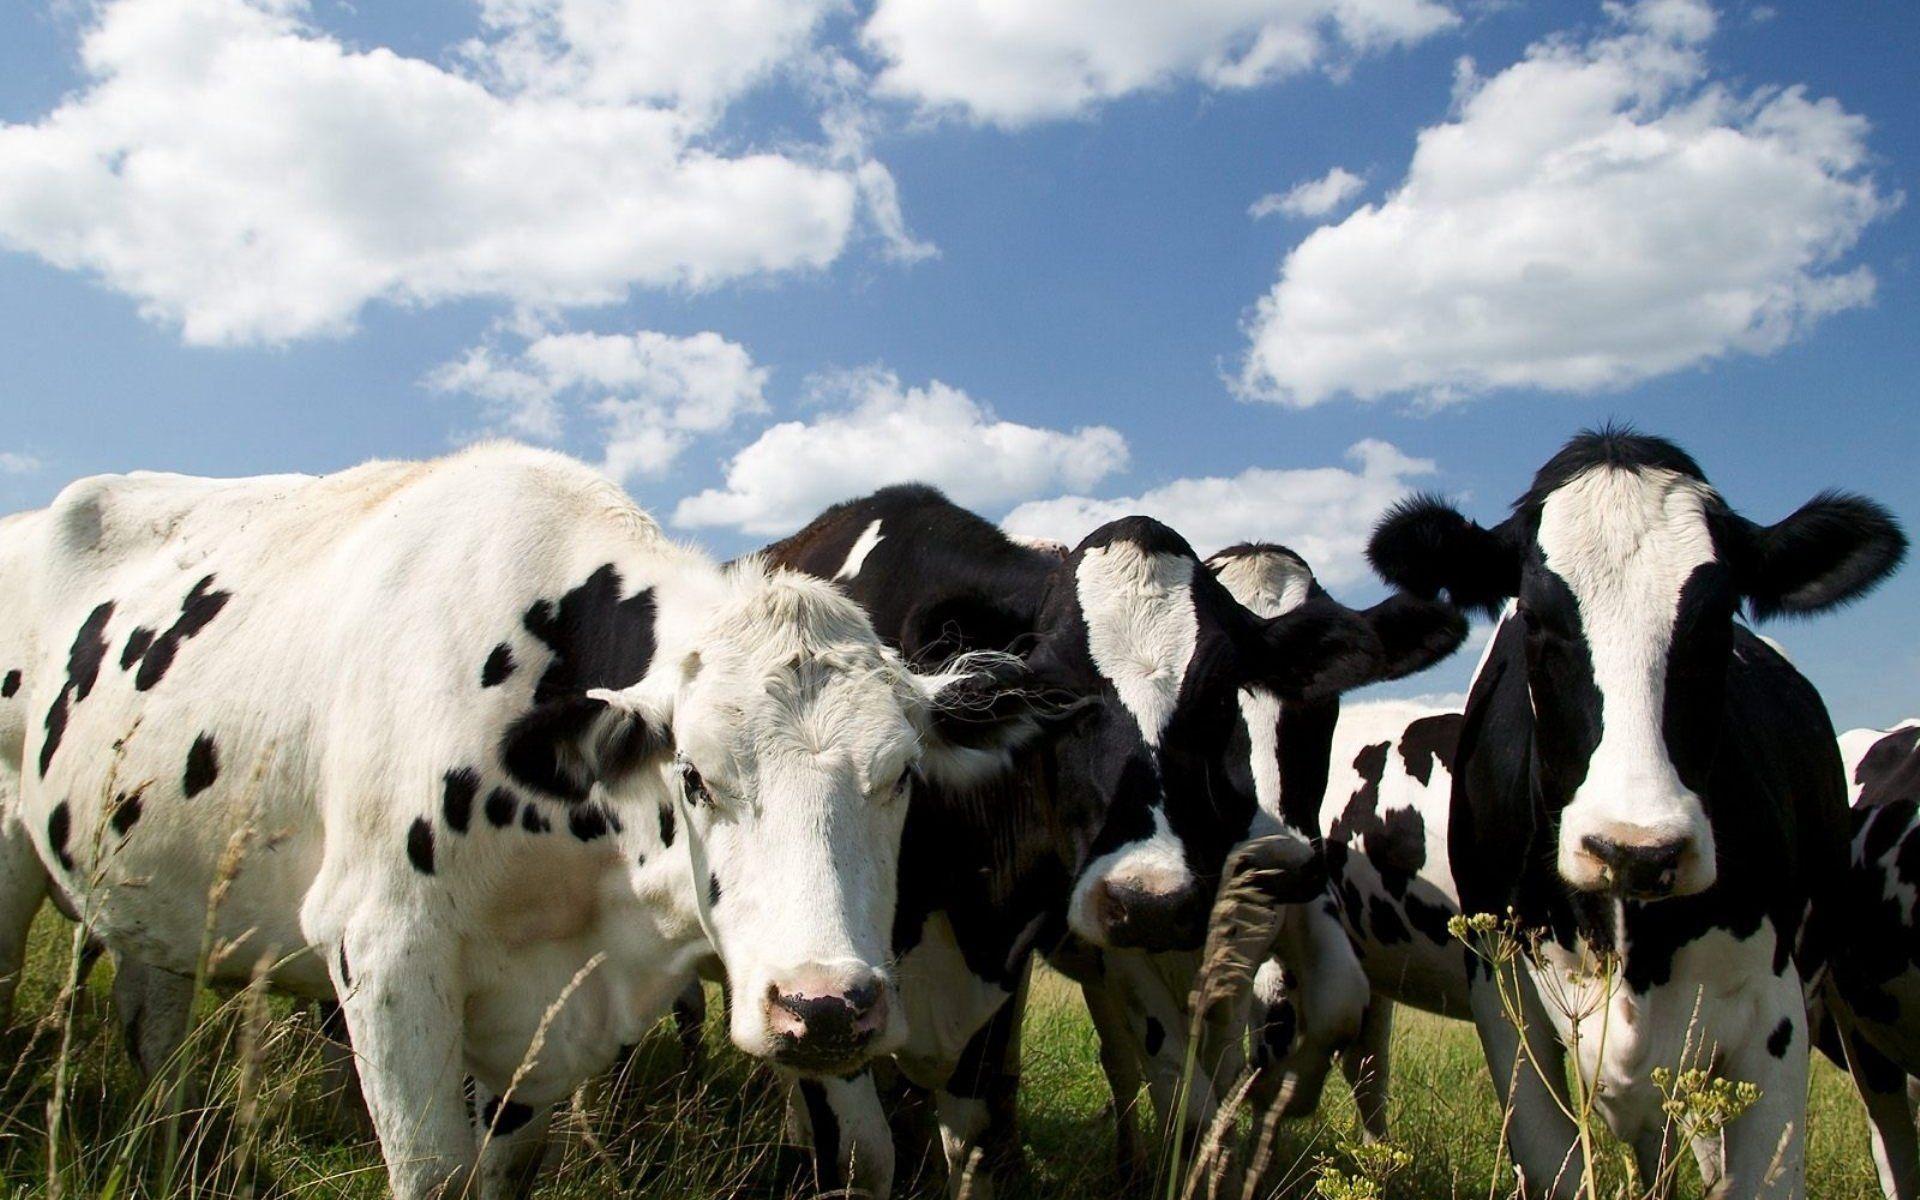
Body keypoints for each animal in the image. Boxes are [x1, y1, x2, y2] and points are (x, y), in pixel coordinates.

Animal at [0, 445, 1058, 1199]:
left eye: (901, 775)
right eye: (695, 777)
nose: (826, 1006)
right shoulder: (383, 950)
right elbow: (437, 1176)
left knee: (153, 1026)